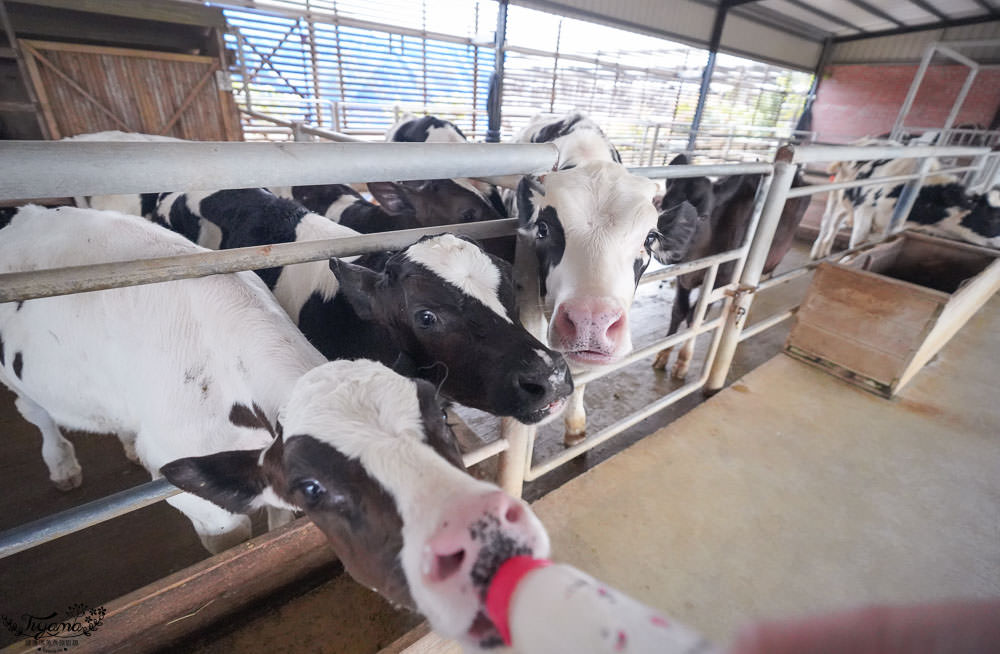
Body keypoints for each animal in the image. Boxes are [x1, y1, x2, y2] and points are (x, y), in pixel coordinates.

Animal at [0, 209, 552, 652]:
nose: (553, 375)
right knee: (35, 410)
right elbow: (227, 558)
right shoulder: (201, 501)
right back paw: (62, 464)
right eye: (427, 314)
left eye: (512, 286)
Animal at [656, 155, 812, 380]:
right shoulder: (683, 276)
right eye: (663, 206)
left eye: (703, 216)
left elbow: (696, 317)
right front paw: (663, 354)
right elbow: (679, 310)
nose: (665, 246)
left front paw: (682, 363)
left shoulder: (719, 281)